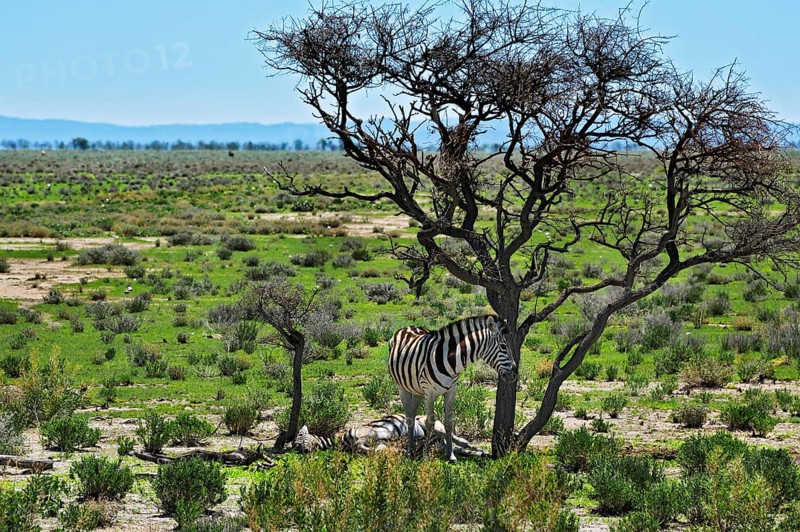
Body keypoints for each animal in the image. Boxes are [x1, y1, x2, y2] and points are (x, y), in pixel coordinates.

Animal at [388, 314, 516, 462]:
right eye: (503, 346)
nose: (515, 374)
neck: (451, 361)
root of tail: (407, 327)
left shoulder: (451, 391)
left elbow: (448, 422)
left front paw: (450, 454)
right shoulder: (429, 392)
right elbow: (429, 423)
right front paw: (426, 456)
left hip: (417, 390)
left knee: (413, 415)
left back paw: (413, 448)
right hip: (402, 387)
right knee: (409, 417)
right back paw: (410, 451)